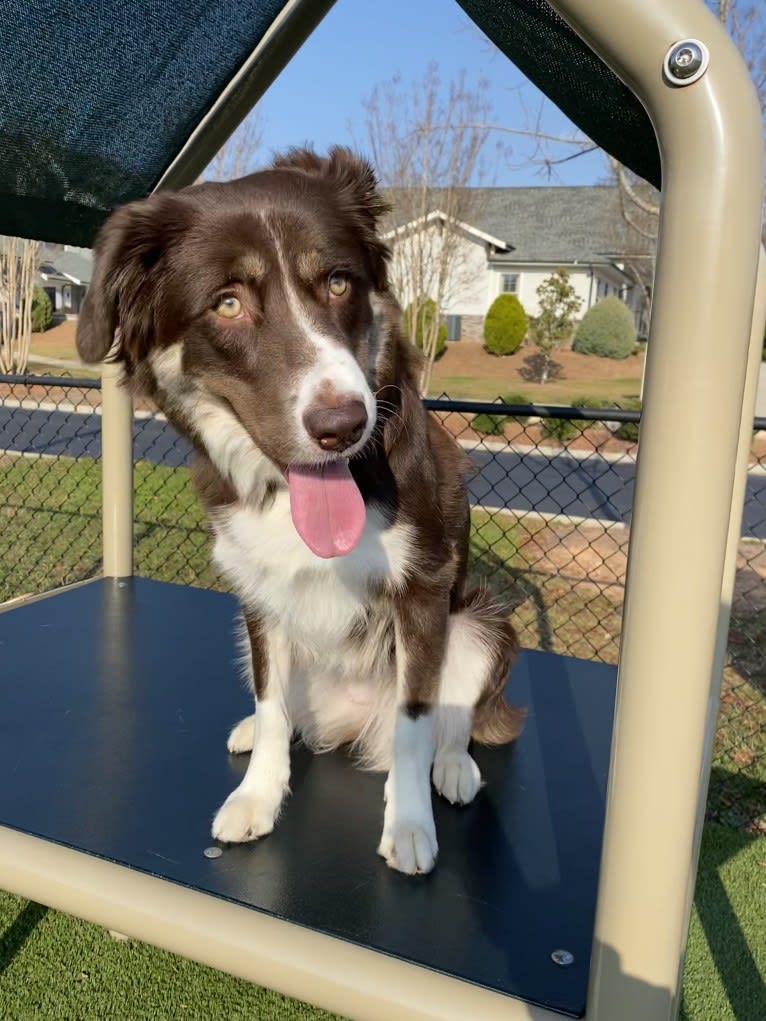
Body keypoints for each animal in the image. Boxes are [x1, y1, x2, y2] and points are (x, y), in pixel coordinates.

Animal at [76, 148, 522, 873]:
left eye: (338, 284)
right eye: (228, 303)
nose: (344, 425)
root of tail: (349, 722)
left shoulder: (425, 589)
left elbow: (417, 722)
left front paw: (408, 825)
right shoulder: (259, 593)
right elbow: (271, 701)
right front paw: (257, 796)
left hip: (482, 622)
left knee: (452, 720)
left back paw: (453, 769)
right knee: (284, 710)